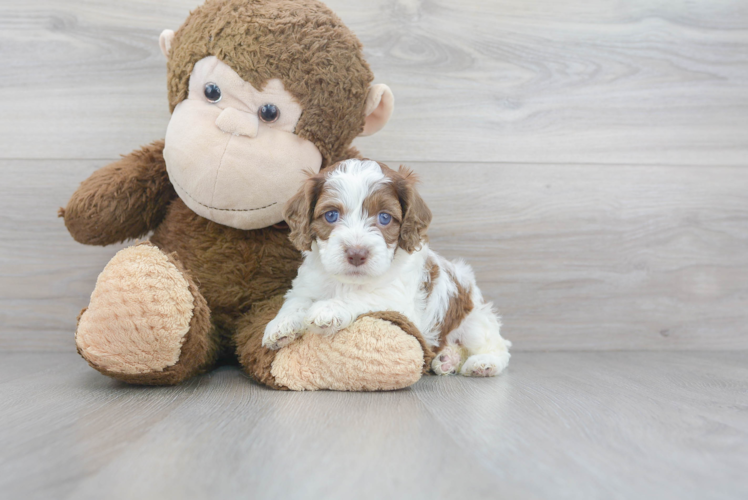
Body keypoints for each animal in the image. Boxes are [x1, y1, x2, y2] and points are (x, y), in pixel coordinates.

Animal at [260, 159, 512, 376]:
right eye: (331, 215)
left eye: (384, 218)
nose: (356, 253)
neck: (347, 281)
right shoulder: (306, 285)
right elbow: (295, 302)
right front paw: (280, 325)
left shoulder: (398, 301)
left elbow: (363, 296)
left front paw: (328, 309)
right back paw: (447, 359)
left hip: (473, 322)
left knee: (498, 346)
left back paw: (484, 363)